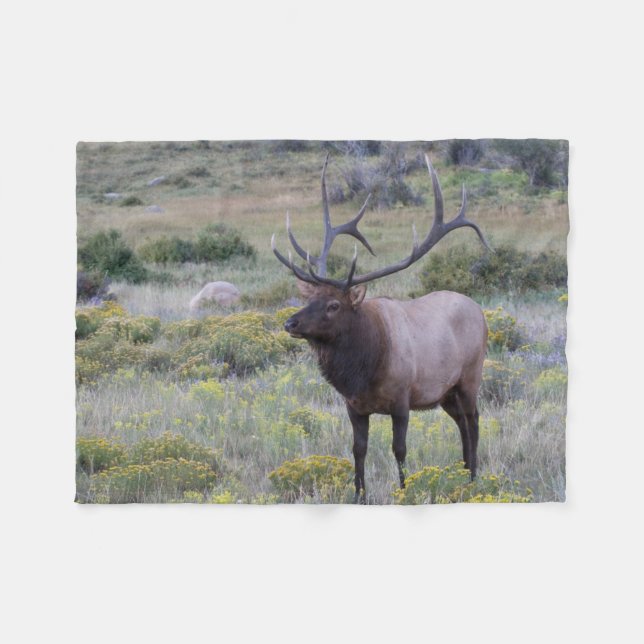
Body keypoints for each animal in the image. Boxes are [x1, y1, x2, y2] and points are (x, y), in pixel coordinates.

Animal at [271, 154, 490, 503]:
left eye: (334, 305)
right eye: (310, 298)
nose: (290, 322)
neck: (364, 371)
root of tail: (480, 311)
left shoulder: (402, 400)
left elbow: (399, 450)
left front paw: (403, 490)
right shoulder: (354, 407)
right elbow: (358, 450)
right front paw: (359, 495)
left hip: (471, 375)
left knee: (474, 420)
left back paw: (472, 476)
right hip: (445, 391)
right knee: (461, 422)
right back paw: (464, 471)